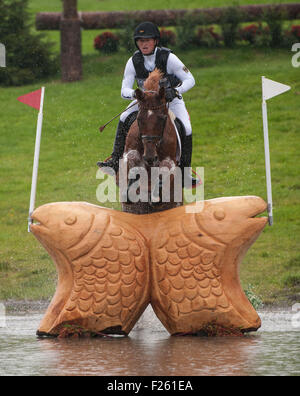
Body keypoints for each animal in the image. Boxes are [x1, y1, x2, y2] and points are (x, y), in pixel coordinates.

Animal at [119, 69, 183, 215]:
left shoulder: (171, 160)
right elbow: (133, 158)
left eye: (163, 118)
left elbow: (165, 169)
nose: (149, 157)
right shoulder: (129, 152)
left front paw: (155, 195)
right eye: (139, 119)